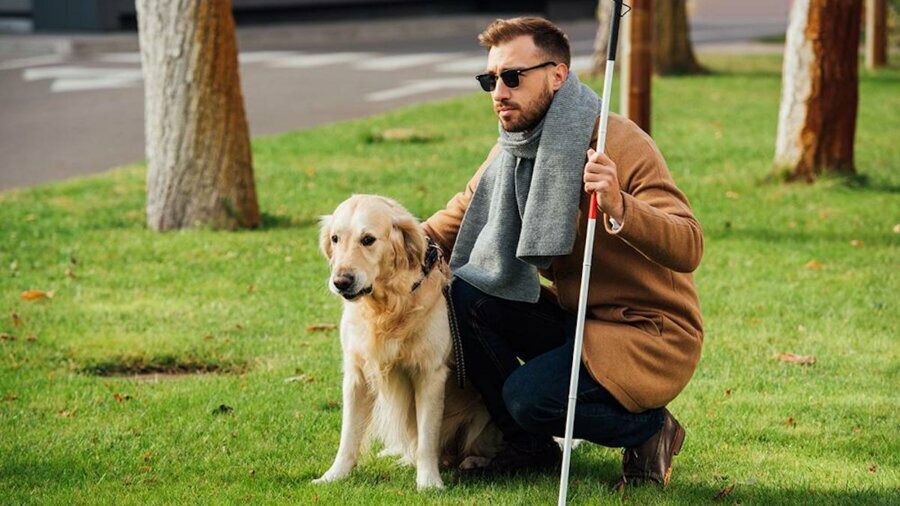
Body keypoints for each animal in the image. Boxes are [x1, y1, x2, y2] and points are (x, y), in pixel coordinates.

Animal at [312, 195, 502, 490]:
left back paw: (474, 461)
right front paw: (334, 475)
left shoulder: (430, 374)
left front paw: (429, 482)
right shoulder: (356, 375)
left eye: (368, 239)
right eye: (335, 238)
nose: (341, 282)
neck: (387, 307)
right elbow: (348, 435)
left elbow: (427, 438)